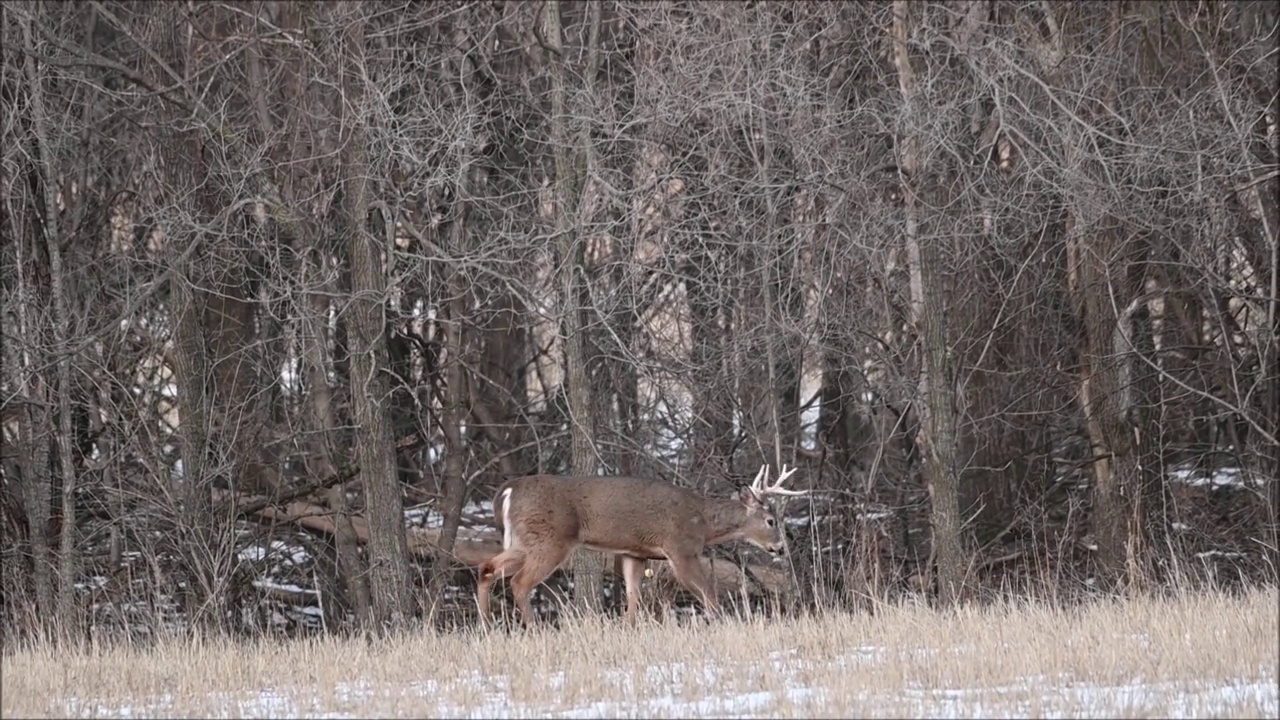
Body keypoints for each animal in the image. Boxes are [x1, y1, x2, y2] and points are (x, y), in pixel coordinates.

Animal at [476, 466, 803, 622]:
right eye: (771, 520)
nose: (780, 548)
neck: (704, 523)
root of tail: (507, 491)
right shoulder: (681, 548)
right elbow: (708, 593)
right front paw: (724, 623)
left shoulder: (634, 553)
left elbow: (633, 599)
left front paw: (629, 628)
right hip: (550, 540)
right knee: (518, 582)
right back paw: (533, 628)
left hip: (522, 540)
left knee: (486, 567)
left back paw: (487, 625)